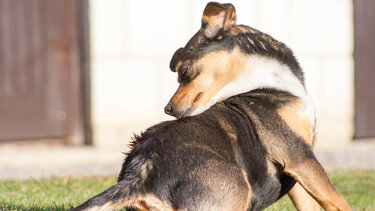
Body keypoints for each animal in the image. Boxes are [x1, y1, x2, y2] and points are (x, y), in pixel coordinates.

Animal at [74, 2, 352, 211]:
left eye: (183, 72)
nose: (168, 109)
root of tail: (141, 173)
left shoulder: (298, 169)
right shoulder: (299, 157)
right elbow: (338, 201)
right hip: (239, 186)